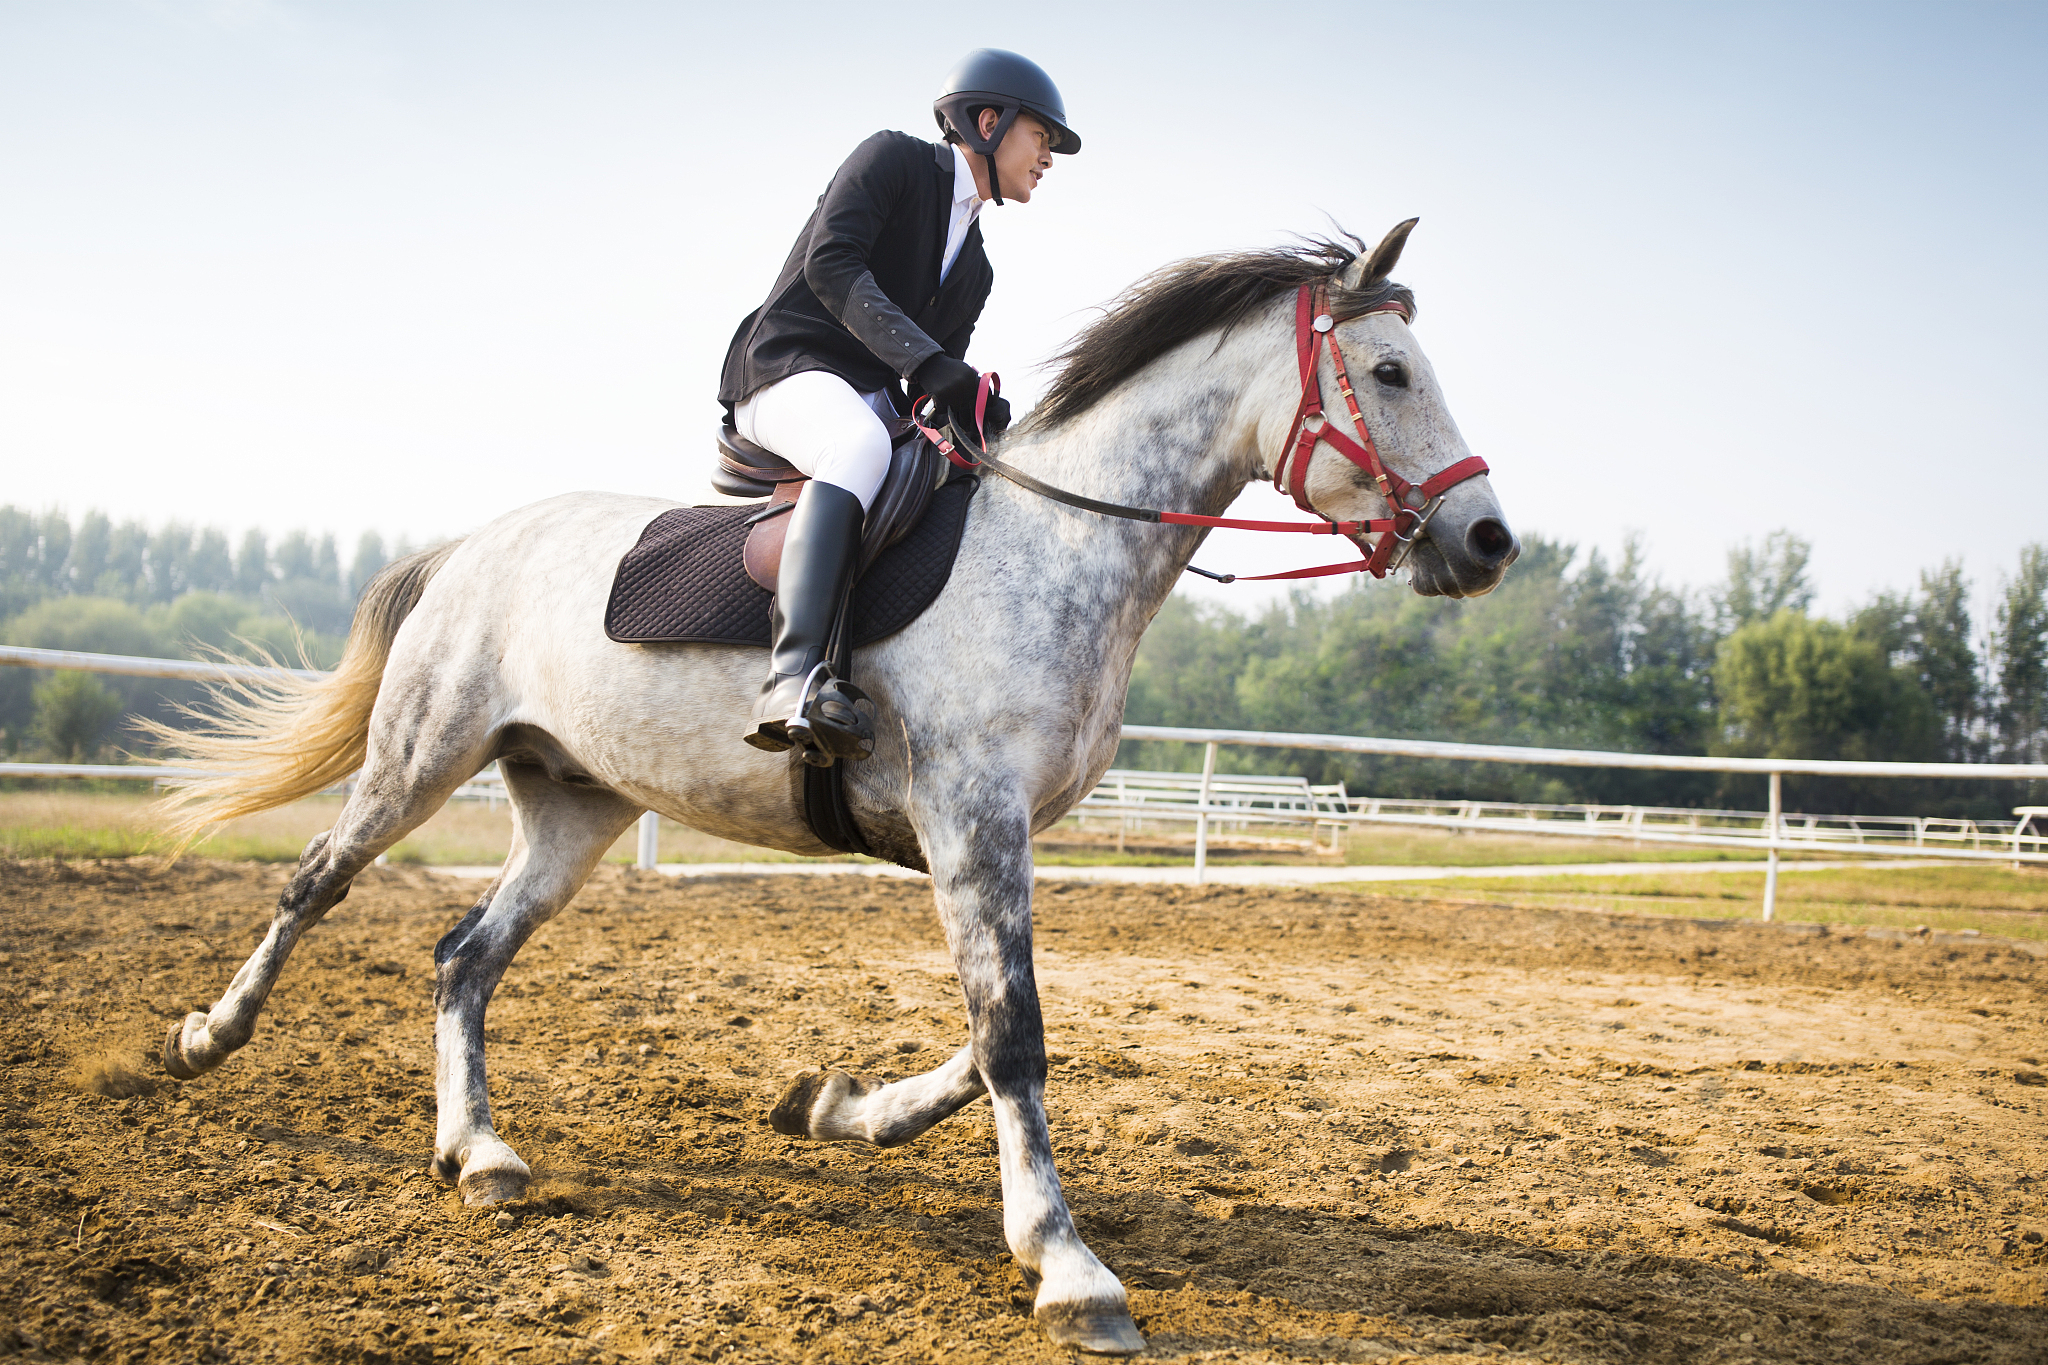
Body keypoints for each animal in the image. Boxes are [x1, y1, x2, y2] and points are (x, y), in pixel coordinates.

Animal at [150, 220, 1518, 1355]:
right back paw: (205, 1040)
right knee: (315, 886)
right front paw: (1068, 1270)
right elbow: (1013, 1036)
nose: (1486, 542)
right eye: (1389, 373)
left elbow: (987, 1038)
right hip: (419, 758)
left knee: (462, 957)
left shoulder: (989, 838)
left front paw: (834, 1106)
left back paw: (477, 1152)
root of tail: (473, 544)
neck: (1061, 546)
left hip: (574, 808)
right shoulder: (970, 822)